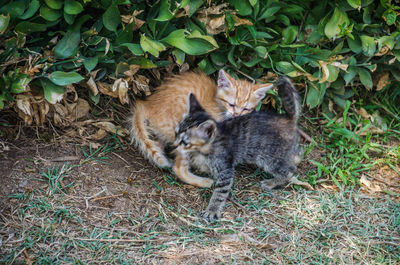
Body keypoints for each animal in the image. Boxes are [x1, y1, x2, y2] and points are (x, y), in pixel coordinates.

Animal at [130, 69, 274, 187]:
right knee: (178, 167)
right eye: (231, 104)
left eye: (246, 109)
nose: (236, 114)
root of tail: (148, 104)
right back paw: (203, 181)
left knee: (157, 145)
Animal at [173, 76, 302, 221]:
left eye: (184, 142)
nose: (173, 145)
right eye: (175, 133)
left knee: (290, 170)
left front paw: (212, 210)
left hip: (270, 157)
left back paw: (272, 182)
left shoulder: (225, 169)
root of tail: (288, 119)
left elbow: (220, 192)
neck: (208, 147)